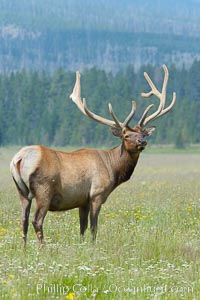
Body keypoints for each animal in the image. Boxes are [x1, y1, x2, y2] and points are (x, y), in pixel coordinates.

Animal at [10, 64, 176, 247]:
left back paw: (24, 249)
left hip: (21, 191)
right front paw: (93, 246)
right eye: (126, 135)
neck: (113, 169)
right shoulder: (96, 194)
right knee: (36, 220)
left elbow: (82, 227)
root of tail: (19, 159)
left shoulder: (82, 201)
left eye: (143, 134)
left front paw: (82, 245)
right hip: (43, 190)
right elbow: (93, 227)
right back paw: (43, 248)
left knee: (23, 220)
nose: (142, 141)